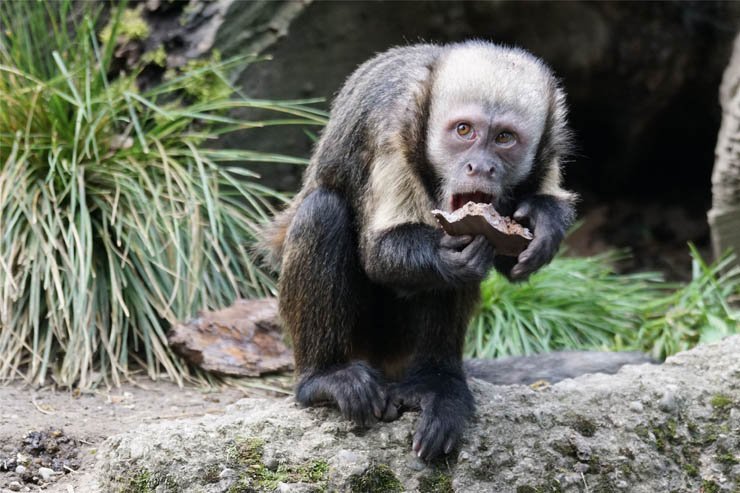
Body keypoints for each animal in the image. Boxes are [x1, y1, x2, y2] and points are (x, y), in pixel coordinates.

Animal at [261, 41, 595, 460]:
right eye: (464, 131)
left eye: (504, 138)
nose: (480, 166)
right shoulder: (392, 131)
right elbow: (379, 253)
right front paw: (448, 256)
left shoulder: (549, 149)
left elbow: (510, 259)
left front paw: (545, 220)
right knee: (323, 211)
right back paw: (323, 377)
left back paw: (436, 383)